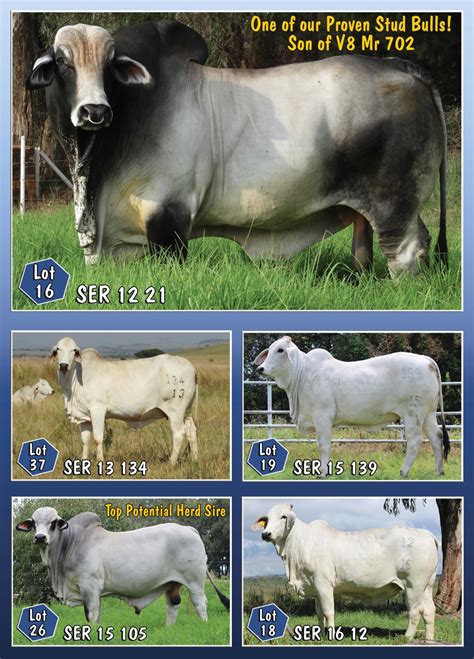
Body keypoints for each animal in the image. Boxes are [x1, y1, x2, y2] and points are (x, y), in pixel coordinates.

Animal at [16, 506, 230, 625]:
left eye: (53, 523)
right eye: (34, 523)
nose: (40, 537)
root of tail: (189, 529)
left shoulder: (89, 587)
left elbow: (90, 615)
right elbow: (97, 616)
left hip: (195, 581)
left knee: (200, 603)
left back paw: (203, 624)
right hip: (172, 584)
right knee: (172, 606)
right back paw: (169, 630)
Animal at [26, 20, 448, 276]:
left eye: (110, 65)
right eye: (62, 62)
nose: (95, 111)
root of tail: (398, 66)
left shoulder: (169, 212)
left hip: (395, 202)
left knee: (407, 250)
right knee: (371, 250)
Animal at [51, 336, 198, 464]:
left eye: (74, 350)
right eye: (58, 349)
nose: (63, 365)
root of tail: (191, 367)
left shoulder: (97, 409)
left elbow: (98, 438)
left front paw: (100, 460)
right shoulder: (84, 415)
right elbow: (85, 440)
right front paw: (83, 462)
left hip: (176, 411)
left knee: (178, 434)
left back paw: (171, 462)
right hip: (187, 412)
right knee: (191, 431)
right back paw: (194, 460)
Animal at [252, 503, 439, 641]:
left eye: (283, 517)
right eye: (267, 519)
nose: (266, 534)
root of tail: (426, 534)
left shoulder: (324, 584)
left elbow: (328, 611)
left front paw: (331, 636)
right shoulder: (314, 588)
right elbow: (319, 613)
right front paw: (320, 635)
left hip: (413, 585)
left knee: (415, 611)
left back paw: (406, 637)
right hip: (427, 586)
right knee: (429, 610)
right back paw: (429, 638)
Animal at [253, 336, 450, 477]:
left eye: (280, 350)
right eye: (269, 350)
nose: (260, 369)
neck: (302, 374)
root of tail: (427, 360)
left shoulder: (322, 416)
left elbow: (323, 445)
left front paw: (322, 472)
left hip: (413, 414)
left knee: (415, 441)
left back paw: (404, 471)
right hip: (428, 413)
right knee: (436, 437)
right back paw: (439, 471)